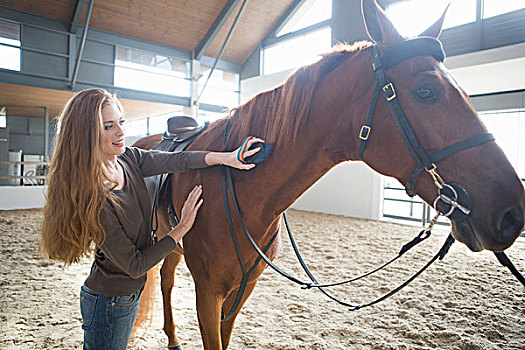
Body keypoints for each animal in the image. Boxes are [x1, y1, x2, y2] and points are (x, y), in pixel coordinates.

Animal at [134, 1, 524, 348]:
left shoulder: (241, 291)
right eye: (426, 91)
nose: (513, 213)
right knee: (165, 280)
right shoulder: (208, 292)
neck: (241, 189)